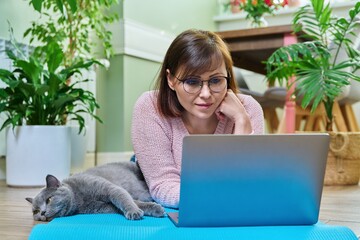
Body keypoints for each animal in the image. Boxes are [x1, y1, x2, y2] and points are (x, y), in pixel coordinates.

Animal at [25, 161, 165, 221]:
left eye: (49, 199)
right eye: (35, 211)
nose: (42, 213)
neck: (80, 198)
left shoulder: (110, 189)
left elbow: (124, 199)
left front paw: (134, 211)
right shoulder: (102, 207)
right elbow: (128, 204)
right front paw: (152, 209)